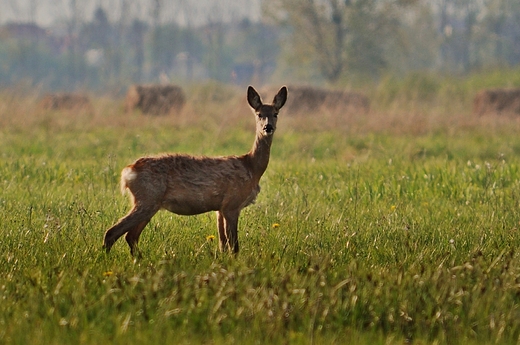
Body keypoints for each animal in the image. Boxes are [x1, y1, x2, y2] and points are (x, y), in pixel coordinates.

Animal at [101, 84, 288, 254]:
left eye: (276, 113)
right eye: (259, 114)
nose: (268, 127)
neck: (251, 167)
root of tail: (128, 171)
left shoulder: (220, 209)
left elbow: (222, 244)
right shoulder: (232, 204)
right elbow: (234, 246)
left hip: (148, 203)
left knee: (130, 236)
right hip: (147, 198)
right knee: (113, 232)